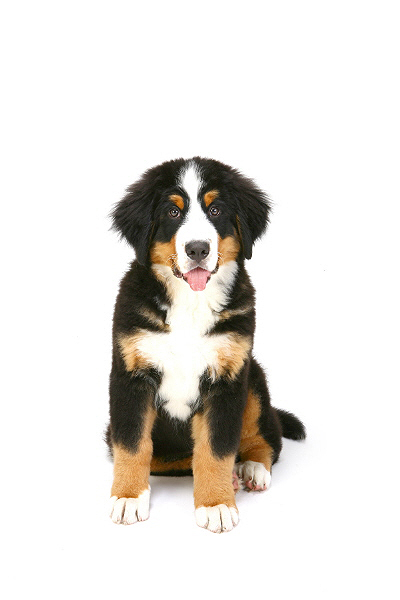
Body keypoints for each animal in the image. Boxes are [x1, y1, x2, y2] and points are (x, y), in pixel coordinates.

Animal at [106, 157, 306, 533]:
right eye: (172, 212)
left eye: (215, 210)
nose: (197, 248)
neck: (190, 303)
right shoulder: (131, 376)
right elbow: (133, 444)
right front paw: (127, 497)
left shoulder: (227, 378)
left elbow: (215, 449)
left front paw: (215, 504)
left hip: (253, 380)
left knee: (266, 436)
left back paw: (249, 469)